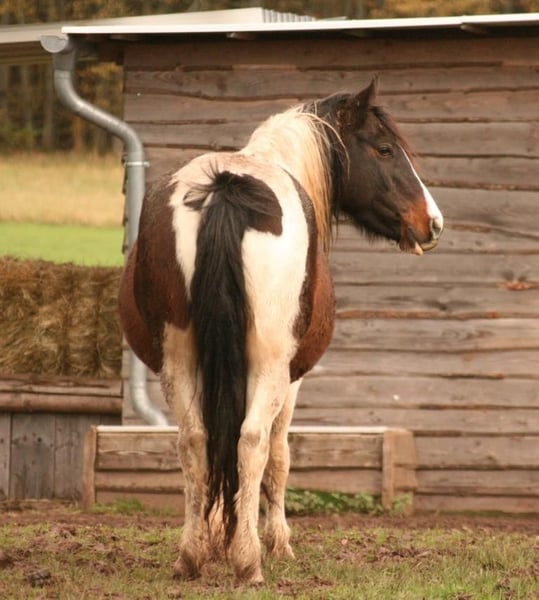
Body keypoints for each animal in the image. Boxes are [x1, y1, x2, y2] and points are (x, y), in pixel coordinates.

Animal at [118, 77, 443, 584]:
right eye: (385, 149)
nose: (432, 222)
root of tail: (226, 186)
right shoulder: (291, 379)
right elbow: (278, 456)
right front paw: (275, 542)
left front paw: (219, 534)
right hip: (269, 367)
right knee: (251, 441)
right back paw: (248, 560)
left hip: (181, 358)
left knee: (195, 439)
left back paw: (191, 555)